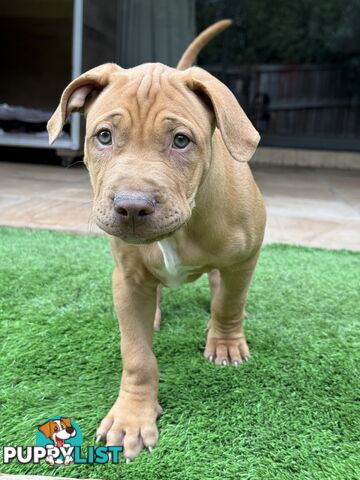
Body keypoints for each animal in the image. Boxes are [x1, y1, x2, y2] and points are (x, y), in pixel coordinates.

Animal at [47, 20, 266, 460]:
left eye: (181, 140)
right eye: (103, 136)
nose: (132, 207)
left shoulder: (246, 255)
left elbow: (230, 303)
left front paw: (226, 343)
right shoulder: (127, 279)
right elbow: (137, 355)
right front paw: (132, 416)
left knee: (223, 289)